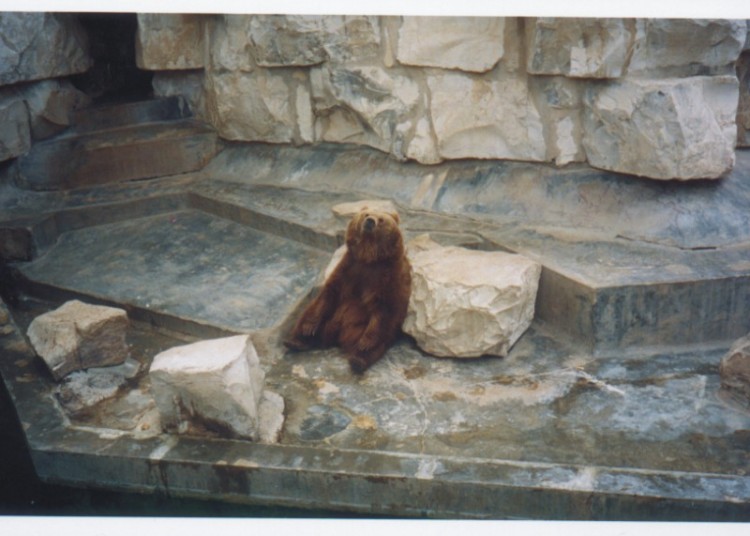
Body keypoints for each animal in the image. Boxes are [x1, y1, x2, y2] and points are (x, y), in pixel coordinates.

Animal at [286, 207, 412, 374]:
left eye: (381, 219)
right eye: (366, 214)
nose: (370, 221)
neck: (368, 257)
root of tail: (338, 336)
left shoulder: (387, 276)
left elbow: (384, 308)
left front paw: (365, 343)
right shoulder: (349, 267)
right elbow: (330, 291)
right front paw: (308, 327)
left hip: (362, 327)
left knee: (379, 340)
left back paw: (357, 360)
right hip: (331, 315)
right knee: (308, 314)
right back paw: (295, 341)